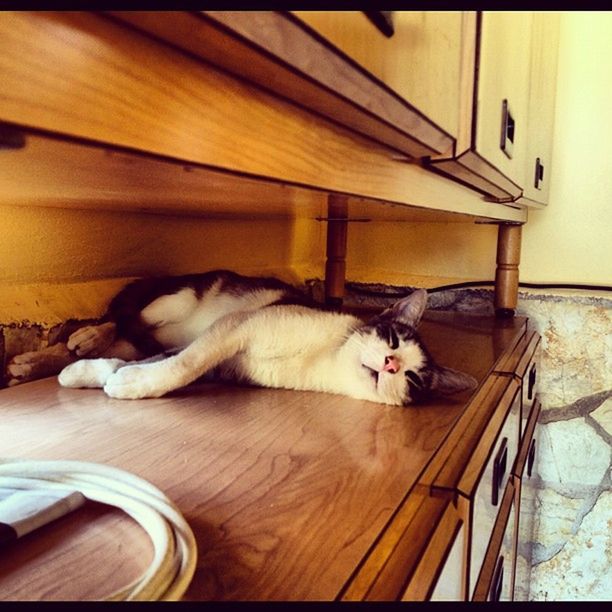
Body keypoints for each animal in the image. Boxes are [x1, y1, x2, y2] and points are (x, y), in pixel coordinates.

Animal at [52, 268, 476, 404]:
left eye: (413, 379)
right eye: (392, 340)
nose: (390, 364)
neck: (324, 359)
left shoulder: (223, 365)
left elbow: (168, 361)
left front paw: (116, 377)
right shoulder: (241, 324)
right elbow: (185, 362)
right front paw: (98, 375)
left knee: (130, 339)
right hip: (175, 299)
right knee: (123, 320)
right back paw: (85, 336)